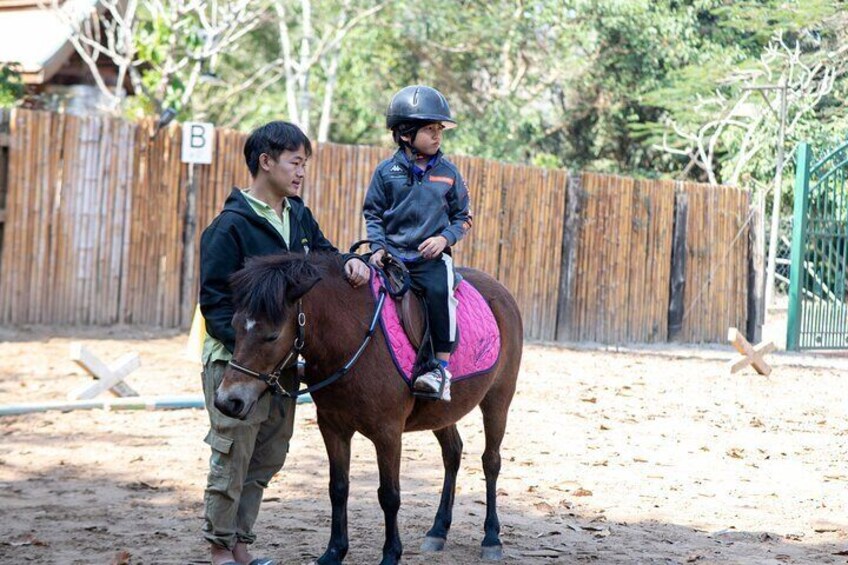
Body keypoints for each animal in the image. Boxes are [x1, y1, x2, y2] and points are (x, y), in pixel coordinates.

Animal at [212, 253, 520, 564]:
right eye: (235, 324)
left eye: (272, 336)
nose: (228, 401)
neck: (354, 340)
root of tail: (502, 292)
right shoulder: (332, 427)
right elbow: (338, 488)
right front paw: (334, 552)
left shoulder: (388, 433)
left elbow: (389, 495)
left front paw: (391, 554)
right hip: (442, 412)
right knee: (453, 454)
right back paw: (438, 531)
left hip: (498, 399)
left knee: (491, 461)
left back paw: (491, 538)